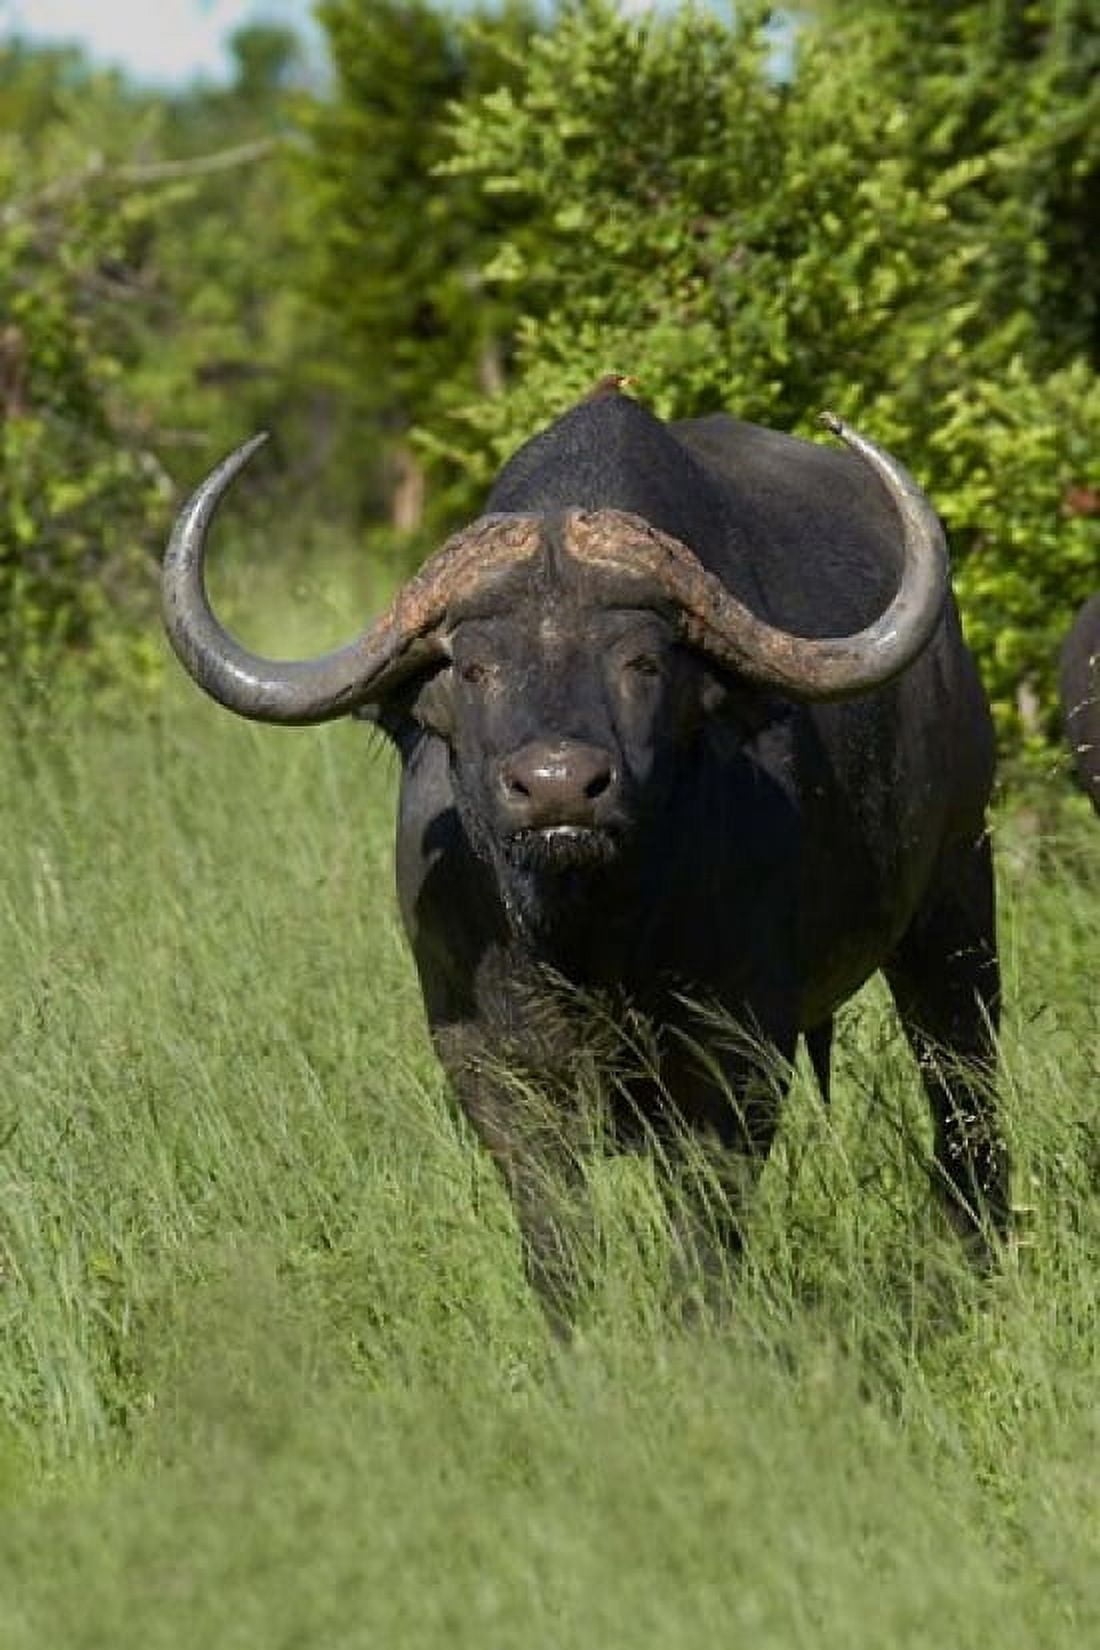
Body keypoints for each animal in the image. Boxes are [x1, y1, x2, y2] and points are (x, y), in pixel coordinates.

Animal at [163, 389, 1009, 1323]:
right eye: (475, 667)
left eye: (642, 661)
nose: (560, 787)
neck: (585, 940)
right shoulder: (481, 1056)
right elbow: (552, 1222)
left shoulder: (737, 1045)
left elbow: (705, 1217)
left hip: (956, 895)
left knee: (962, 1081)